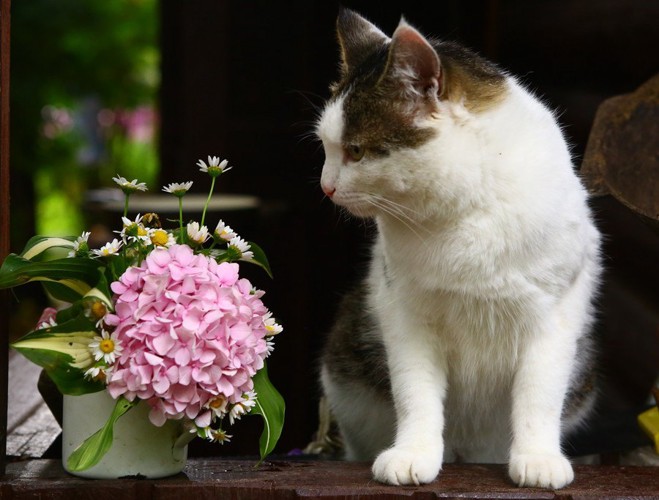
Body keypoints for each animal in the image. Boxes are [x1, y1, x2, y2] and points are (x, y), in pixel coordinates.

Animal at [316, 7, 604, 490]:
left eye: (355, 151)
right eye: (326, 147)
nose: (326, 187)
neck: (464, 214)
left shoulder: (555, 316)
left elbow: (539, 394)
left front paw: (539, 458)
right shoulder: (404, 314)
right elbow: (415, 391)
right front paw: (413, 453)